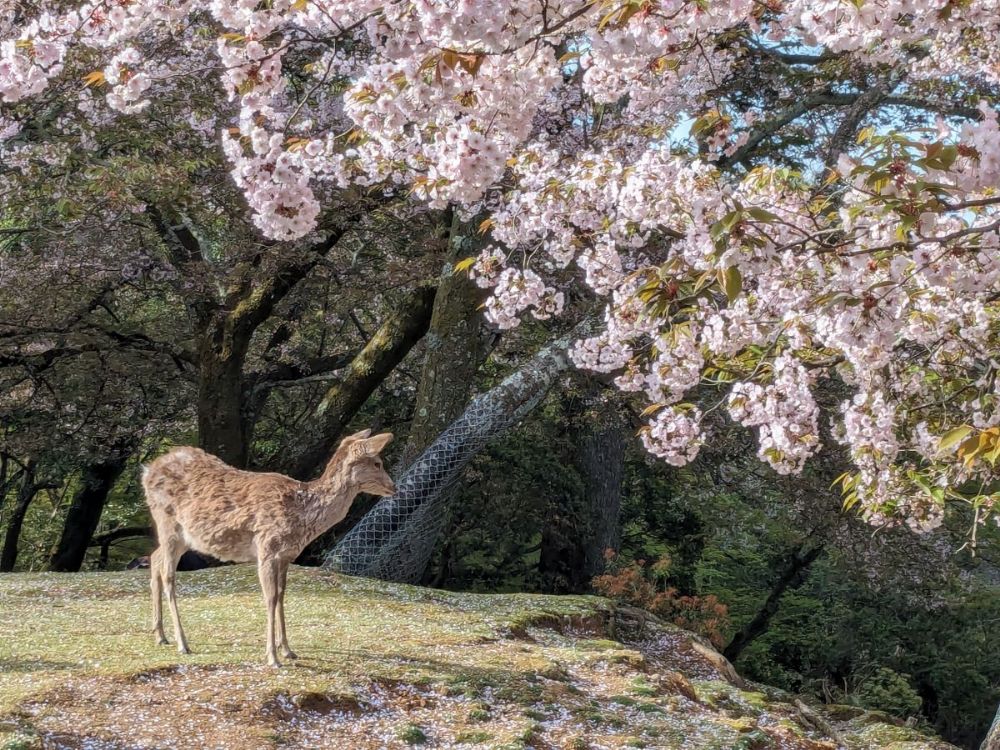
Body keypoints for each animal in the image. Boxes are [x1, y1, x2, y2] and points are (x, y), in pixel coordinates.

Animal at [140, 432, 394, 668]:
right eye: (377, 463)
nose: (394, 486)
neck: (301, 516)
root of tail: (147, 471)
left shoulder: (286, 555)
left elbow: (281, 595)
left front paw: (288, 650)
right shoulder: (267, 547)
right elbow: (270, 598)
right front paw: (272, 657)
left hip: (184, 537)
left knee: (154, 558)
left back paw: (160, 635)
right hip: (167, 522)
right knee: (168, 574)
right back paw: (182, 643)